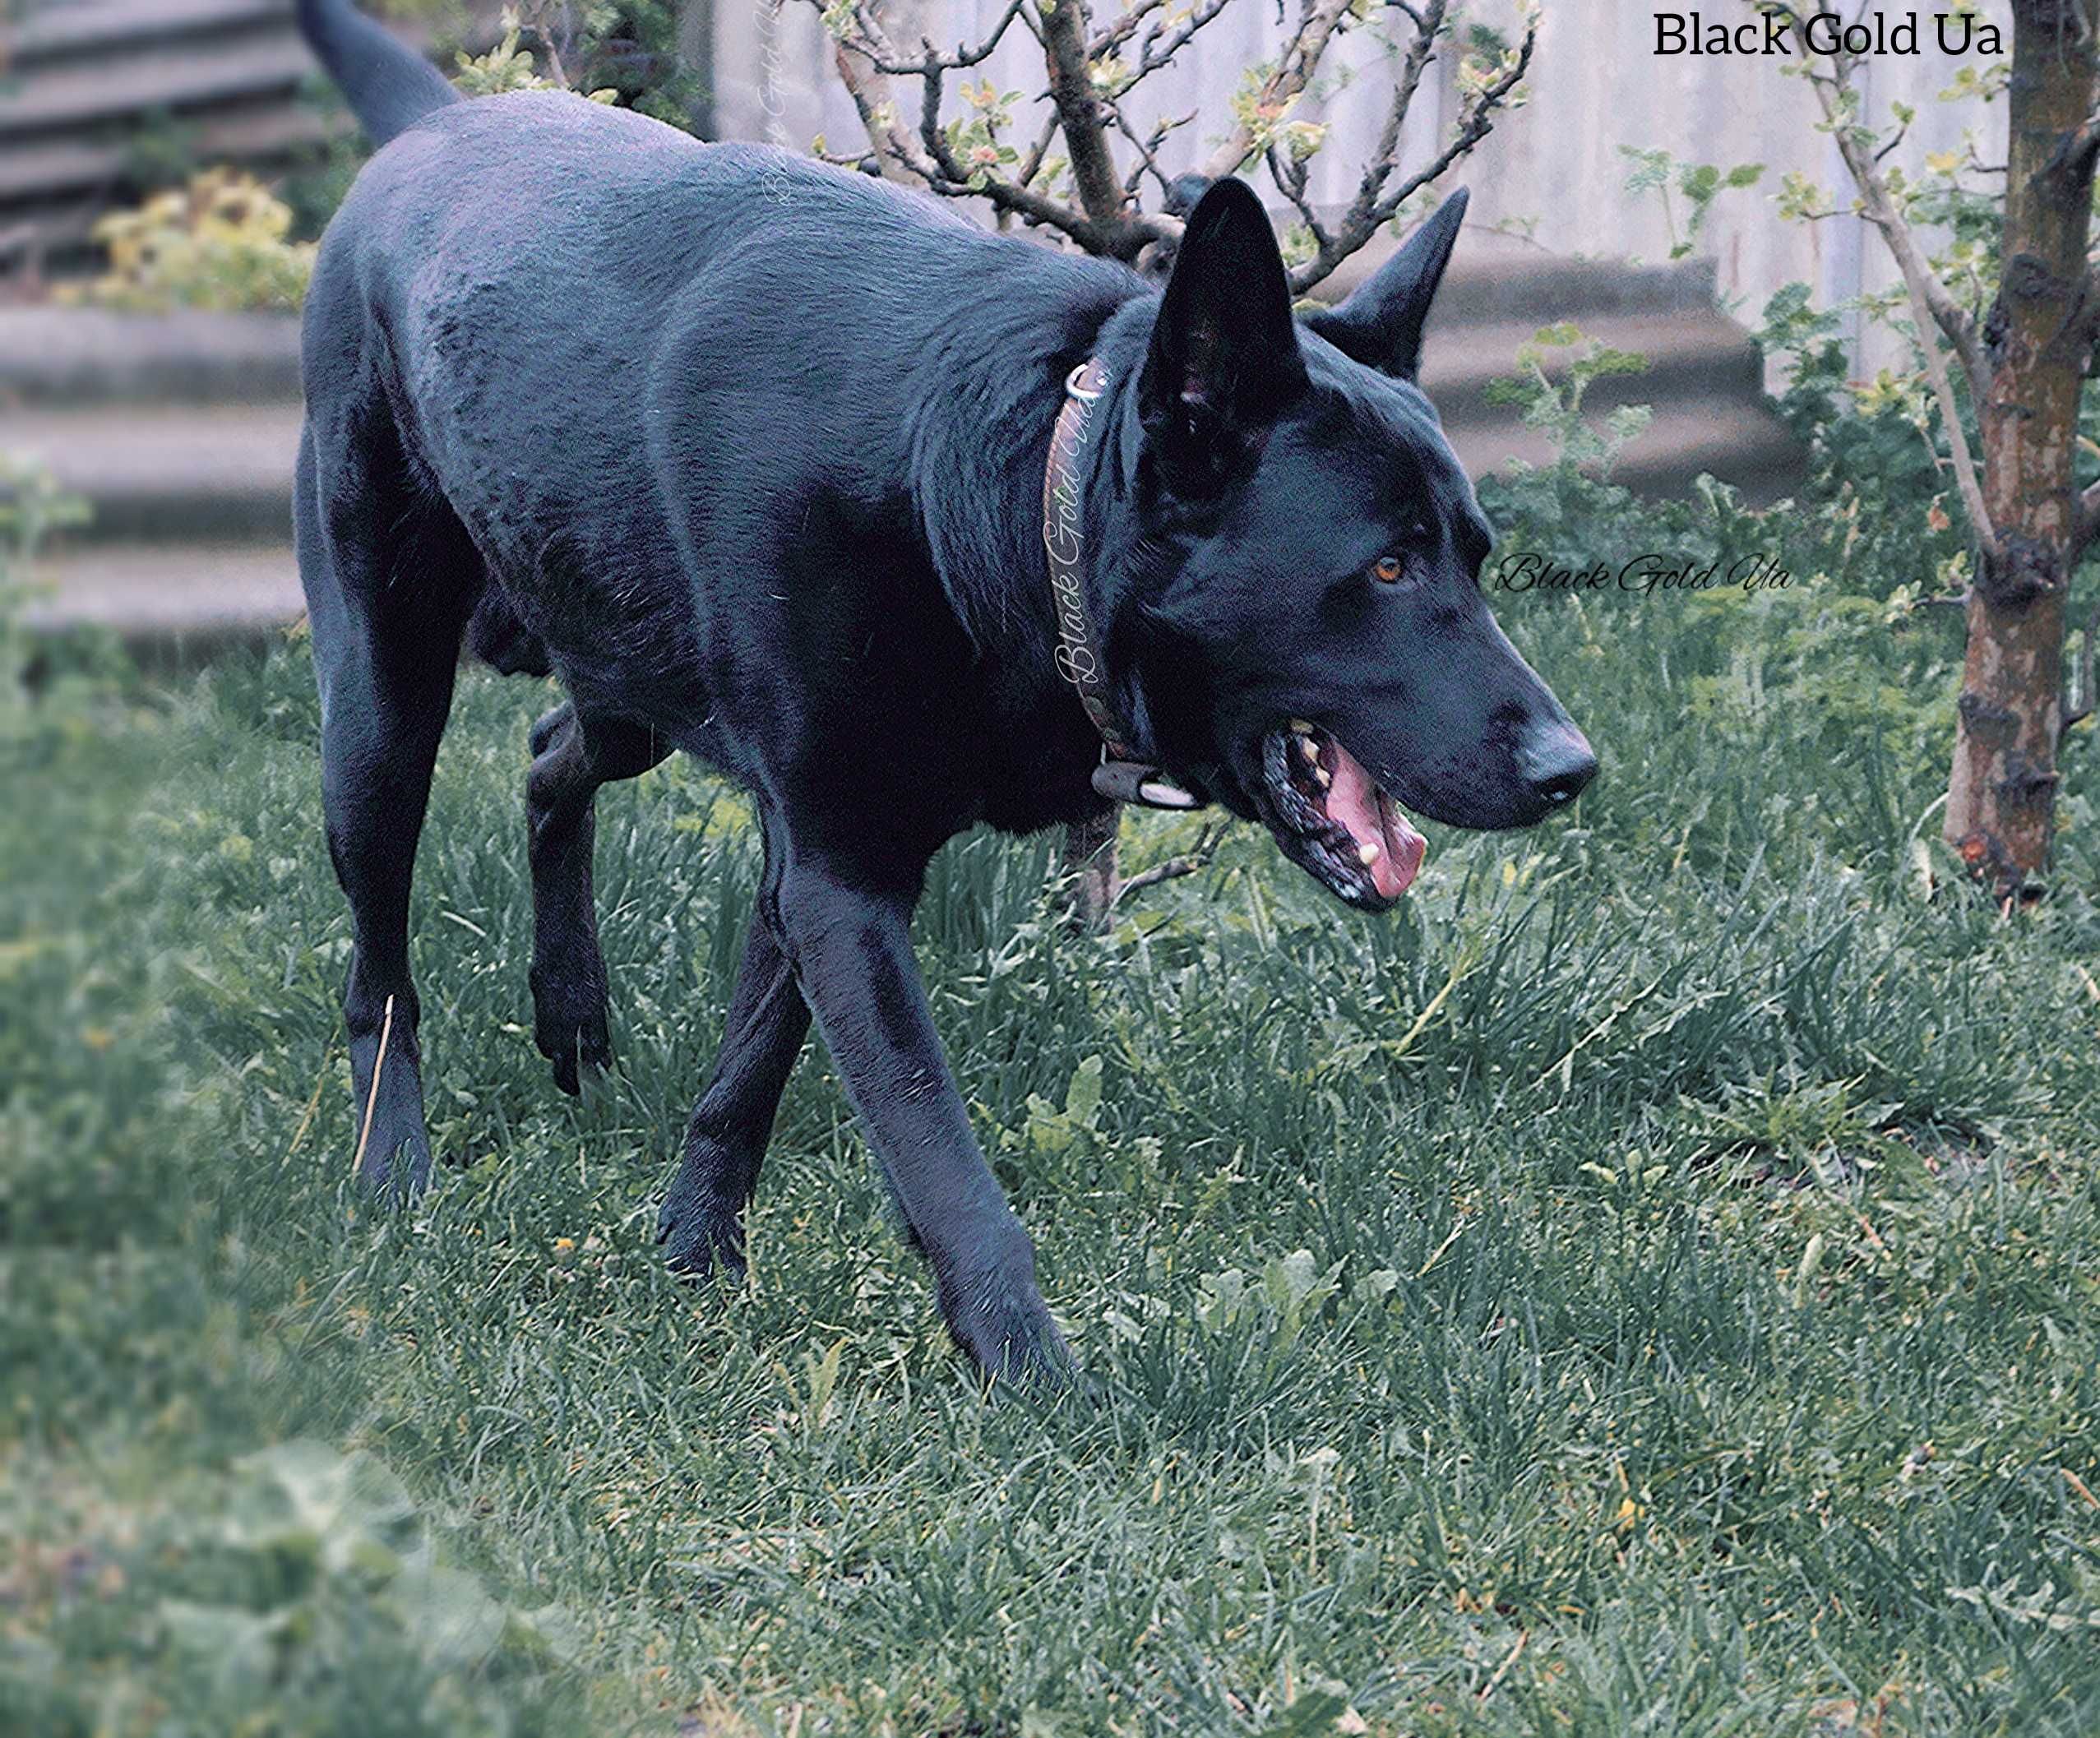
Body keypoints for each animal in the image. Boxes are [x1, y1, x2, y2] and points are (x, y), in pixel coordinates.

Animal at [296, 0, 1587, 1385]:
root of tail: (434, 126)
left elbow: (749, 1073)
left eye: (1472, 556)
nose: (1571, 769)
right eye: (1386, 567)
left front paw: (694, 1253)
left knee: (548, 755)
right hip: (380, 710)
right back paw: (391, 1165)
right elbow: (934, 1148)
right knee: (381, 963)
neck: (1008, 497)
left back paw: (570, 1010)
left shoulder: (808, 862)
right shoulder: (840, 874)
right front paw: (1035, 1375)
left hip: (624, 680)